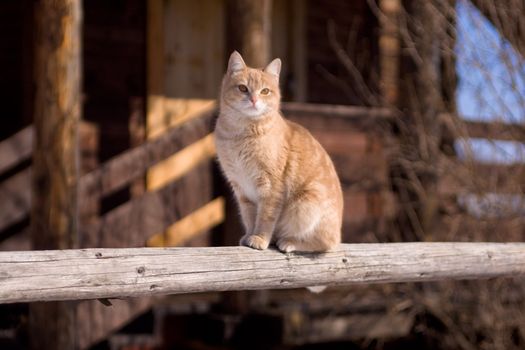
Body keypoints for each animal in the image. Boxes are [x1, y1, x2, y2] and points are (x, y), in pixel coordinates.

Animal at [215, 50, 342, 252]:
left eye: (265, 91)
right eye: (242, 88)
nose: (254, 100)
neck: (241, 134)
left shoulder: (271, 186)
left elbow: (265, 217)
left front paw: (259, 238)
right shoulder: (242, 190)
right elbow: (250, 217)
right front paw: (250, 235)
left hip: (306, 205)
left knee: (326, 243)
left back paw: (288, 242)